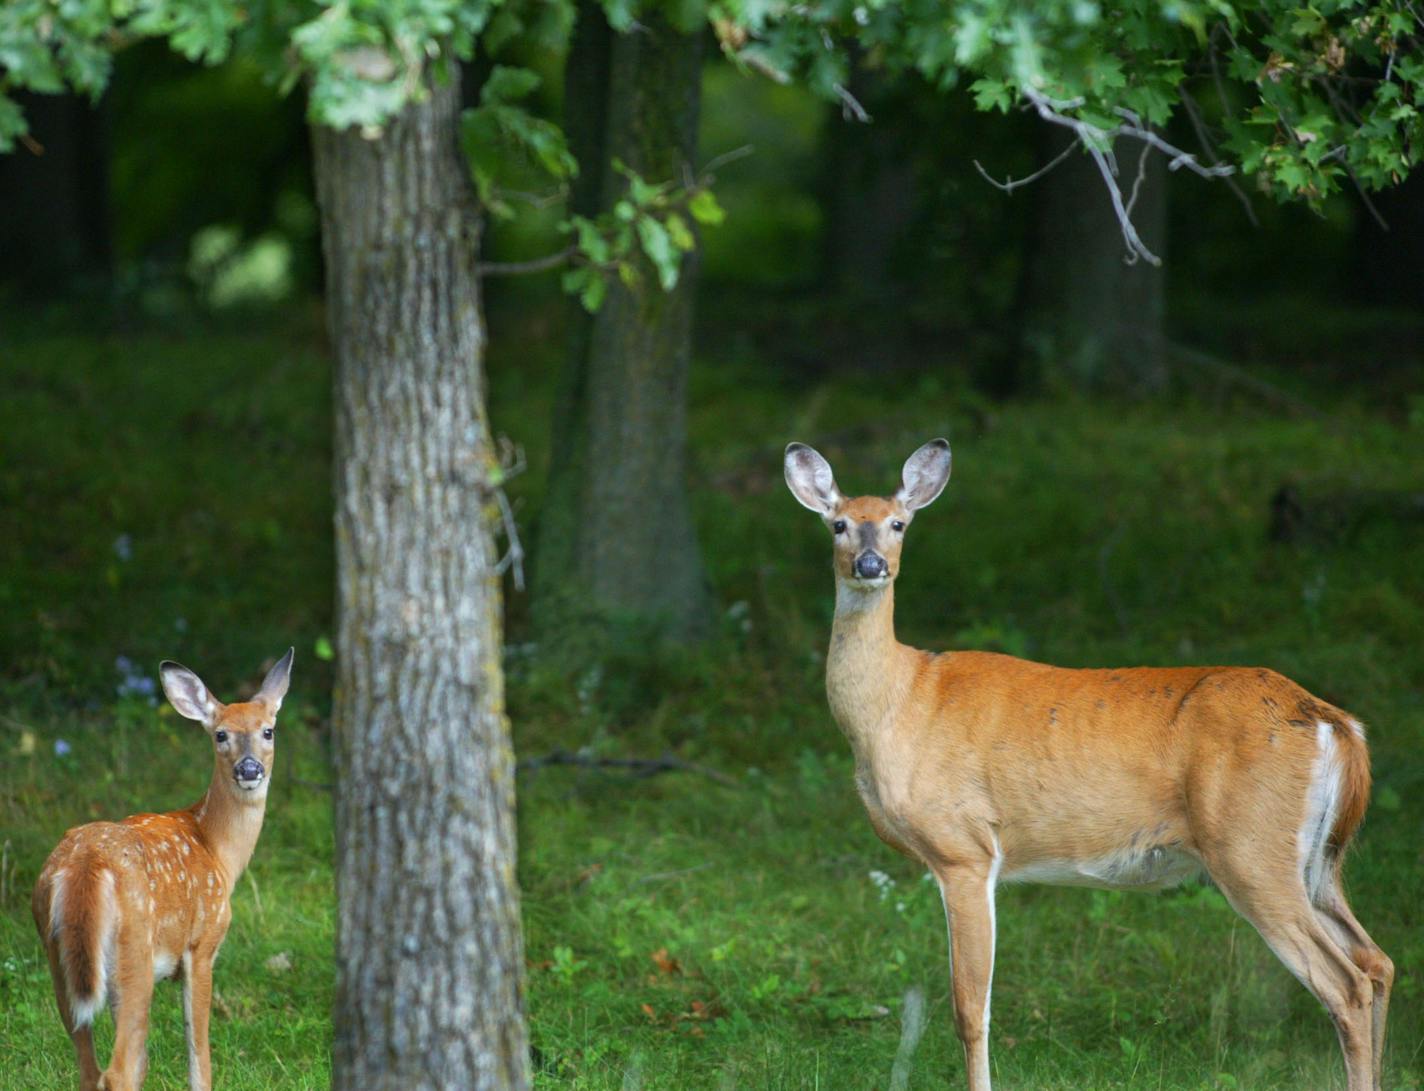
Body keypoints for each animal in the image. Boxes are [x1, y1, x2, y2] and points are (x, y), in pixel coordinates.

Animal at [32, 655, 291, 1088]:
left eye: (267, 730)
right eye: (221, 735)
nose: (249, 768)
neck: (217, 849)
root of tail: (85, 863)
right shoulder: (203, 943)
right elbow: (198, 1052)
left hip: (61, 959)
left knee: (91, 1067)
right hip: (134, 955)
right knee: (118, 1070)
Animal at [780, 441, 1389, 1091]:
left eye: (898, 524)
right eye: (839, 524)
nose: (871, 565)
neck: (900, 701)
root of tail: (1336, 724)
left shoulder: (964, 848)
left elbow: (970, 1008)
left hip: (1251, 847)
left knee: (1347, 984)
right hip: (1318, 860)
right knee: (1377, 961)